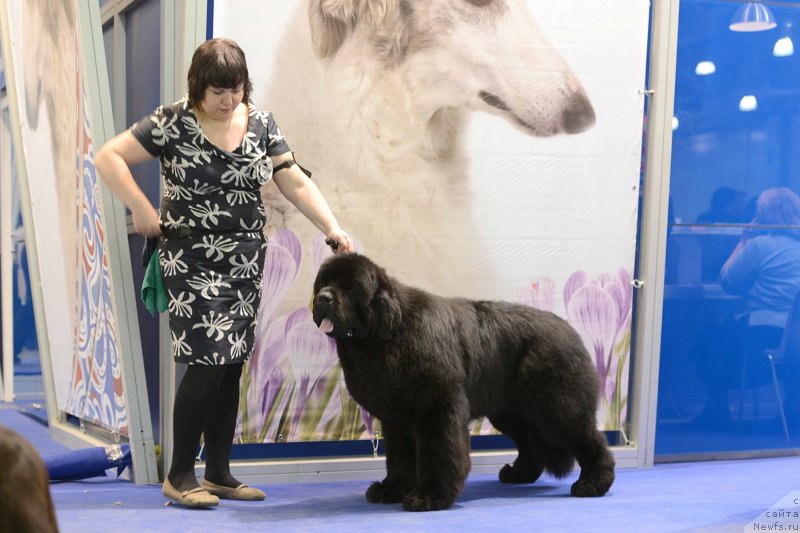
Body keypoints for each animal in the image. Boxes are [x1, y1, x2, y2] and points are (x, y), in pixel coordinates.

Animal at [310, 254, 612, 512]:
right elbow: (398, 459)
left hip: (556, 407)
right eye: (324, 282)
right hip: (511, 413)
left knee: (589, 439)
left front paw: (429, 496)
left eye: (350, 288)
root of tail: (571, 331)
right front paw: (391, 490)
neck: (388, 334)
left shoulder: (437, 410)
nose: (323, 298)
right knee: (530, 443)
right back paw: (519, 474)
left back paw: (594, 483)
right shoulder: (396, 420)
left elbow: (439, 454)